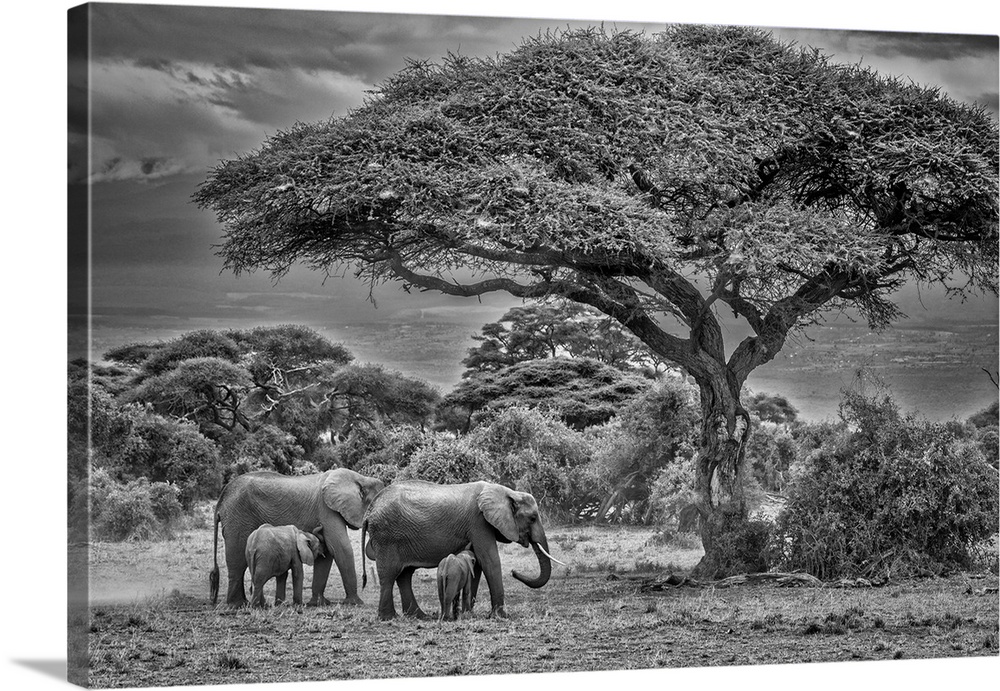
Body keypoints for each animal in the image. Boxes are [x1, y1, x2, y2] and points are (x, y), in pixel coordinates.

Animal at [209, 468, 384, 608]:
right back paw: (238, 604)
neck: (360, 478)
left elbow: (327, 553)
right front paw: (356, 603)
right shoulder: (326, 509)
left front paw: (317, 603)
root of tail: (220, 501)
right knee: (237, 560)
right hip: (238, 518)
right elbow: (341, 548)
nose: (364, 581)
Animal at [362, 482, 564, 620]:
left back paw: (419, 616)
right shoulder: (479, 522)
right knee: (389, 574)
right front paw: (501, 617)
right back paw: (389, 618)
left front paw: (469, 613)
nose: (514, 572)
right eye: (532, 518)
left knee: (405, 575)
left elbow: (479, 564)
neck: (507, 492)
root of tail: (369, 512)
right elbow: (489, 560)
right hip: (387, 537)